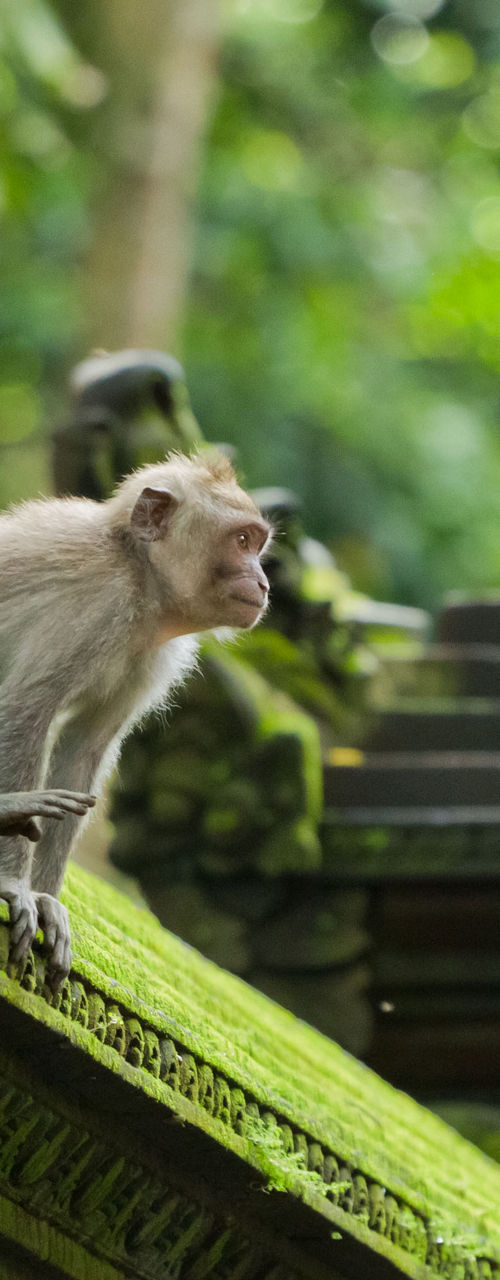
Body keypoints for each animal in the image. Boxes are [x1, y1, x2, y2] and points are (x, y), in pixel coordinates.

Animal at [0, 451, 271, 983]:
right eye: (241, 541)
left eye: (257, 543)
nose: (264, 582)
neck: (141, 578)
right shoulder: (97, 605)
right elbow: (26, 708)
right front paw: (14, 884)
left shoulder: (152, 654)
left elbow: (85, 746)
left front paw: (45, 898)